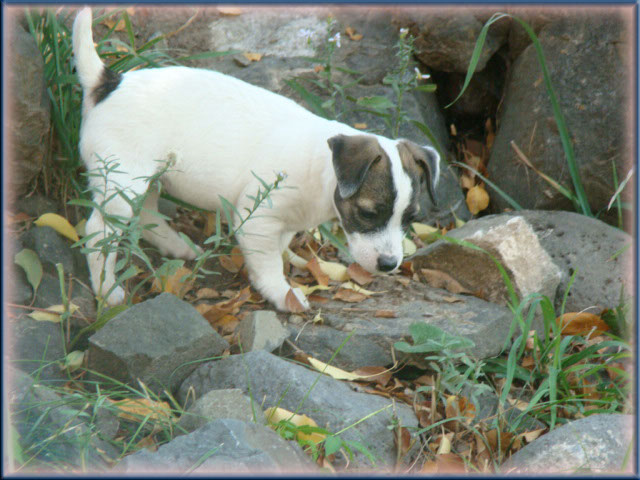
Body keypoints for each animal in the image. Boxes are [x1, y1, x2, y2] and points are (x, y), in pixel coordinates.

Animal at [71, 7, 440, 314]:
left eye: (411, 218)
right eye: (367, 214)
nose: (390, 264)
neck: (321, 169)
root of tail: (109, 82)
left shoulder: (283, 224)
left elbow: (280, 247)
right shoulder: (256, 220)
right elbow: (267, 263)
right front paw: (282, 293)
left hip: (147, 176)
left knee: (146, 212)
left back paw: (177, 246)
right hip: (122, 183)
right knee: (99, 231)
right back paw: (107, 289)